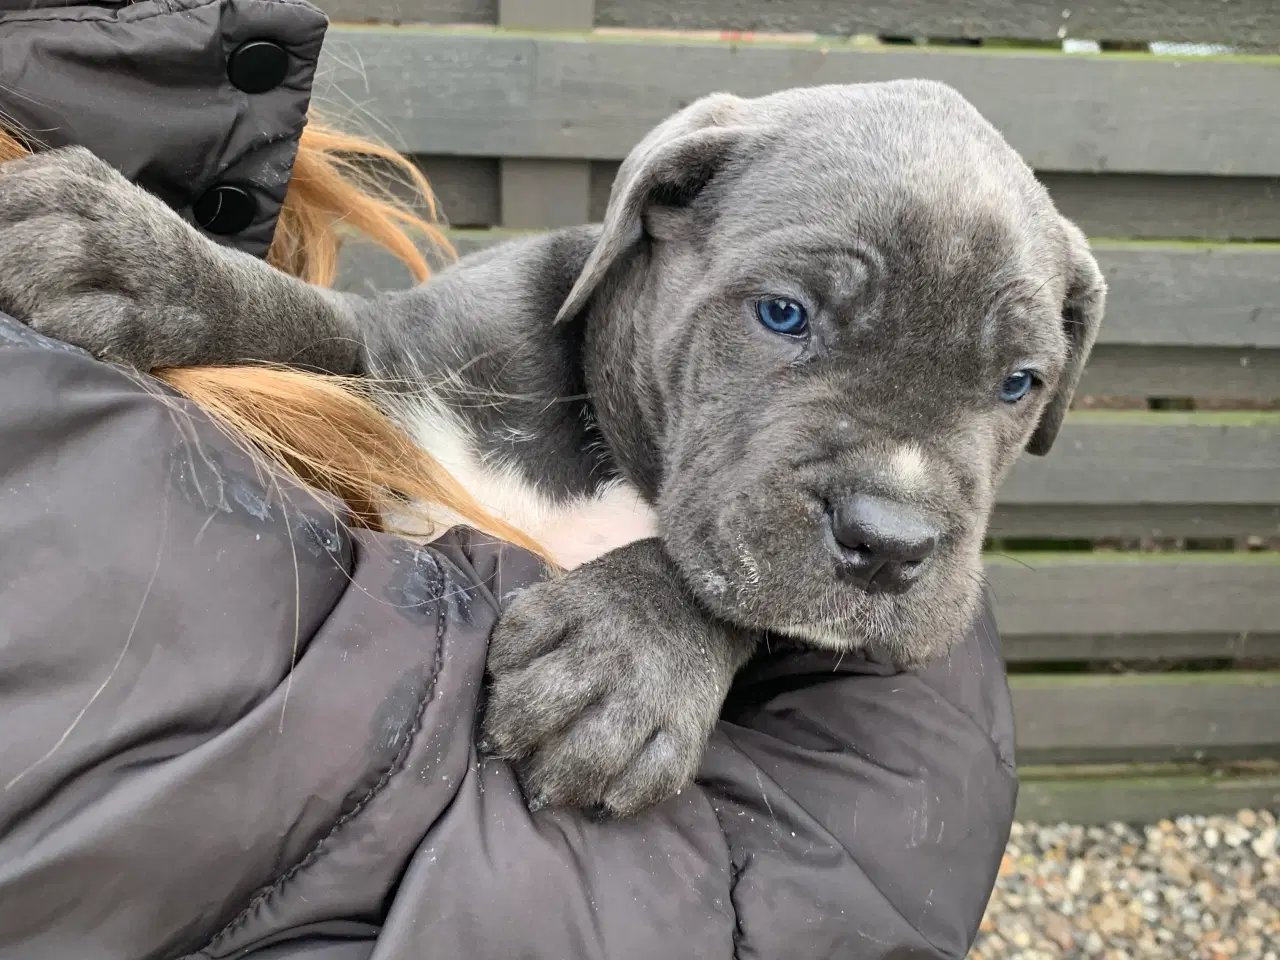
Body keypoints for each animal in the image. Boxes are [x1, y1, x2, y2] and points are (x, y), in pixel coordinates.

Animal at [0, 80, 1100, 819]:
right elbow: (298, 322)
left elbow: (731, 596)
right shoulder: (395, 374)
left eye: (1019, 383)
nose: (891, 543)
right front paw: (133, 258)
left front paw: (627, 656)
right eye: (783, 314)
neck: (605, 453)